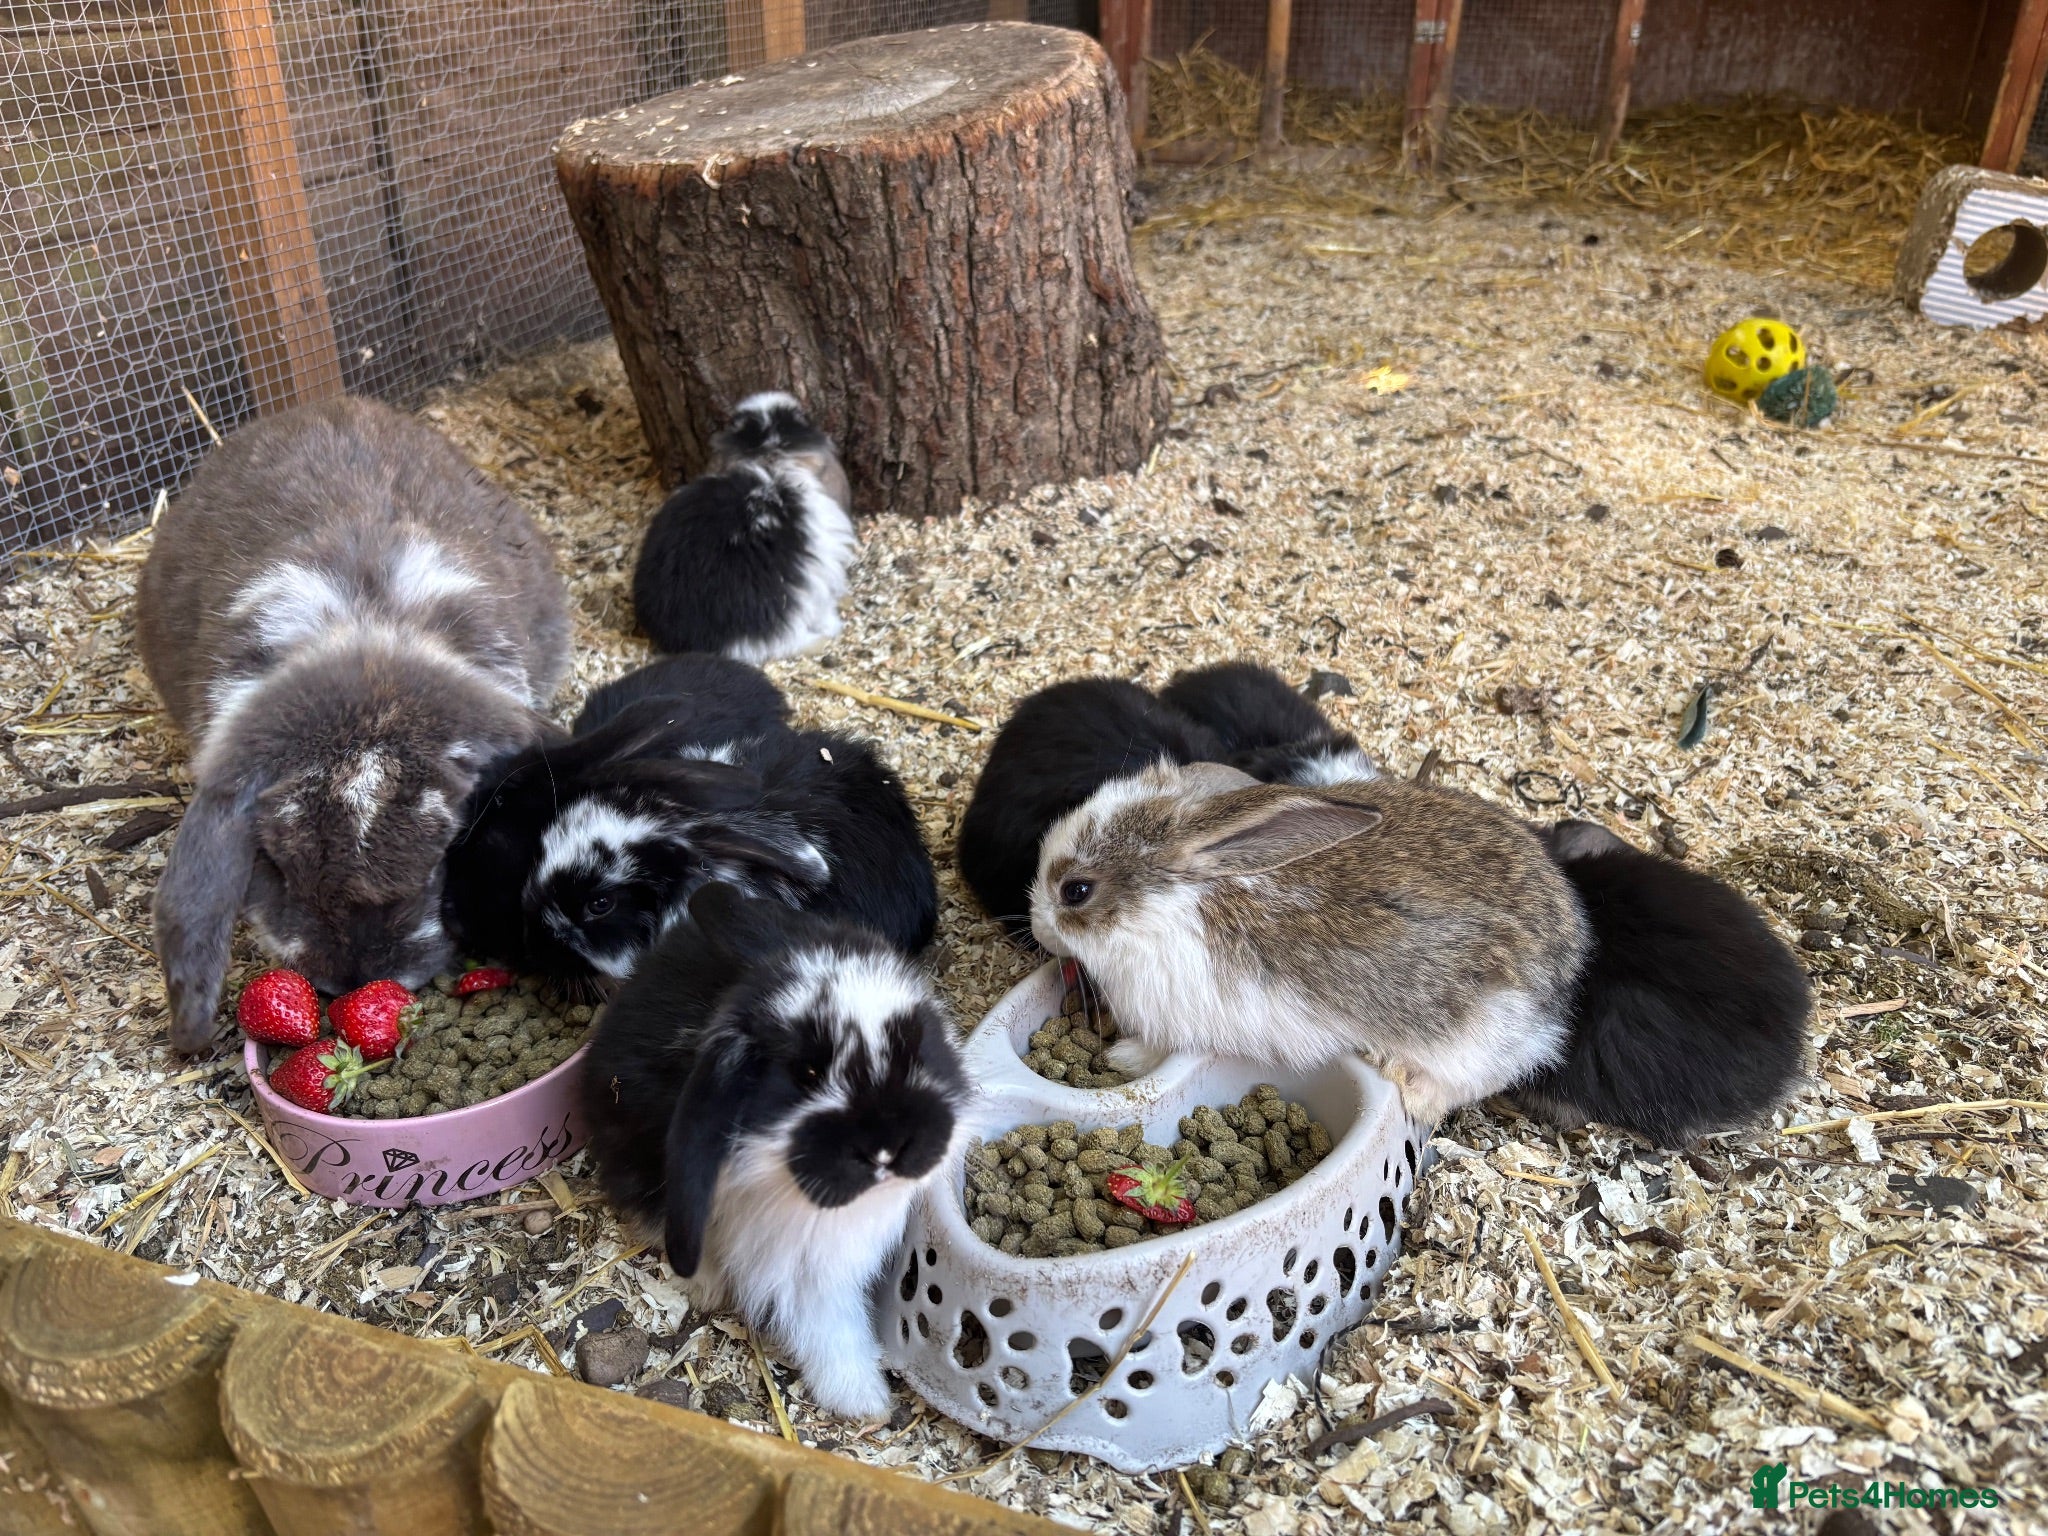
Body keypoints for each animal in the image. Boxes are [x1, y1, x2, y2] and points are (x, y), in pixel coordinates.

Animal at [583, 881, 969, 1419]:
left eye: (912, 1041)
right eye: (803, 1077)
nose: (893, 1145)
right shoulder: (803, 1265)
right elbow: (829, 1327)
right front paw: (867, 1402)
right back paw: (705, 1283)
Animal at [1029, 761, 1589, 1126]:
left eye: (1076, 891)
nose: (1036, 928)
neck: (1165, 902)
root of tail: (1564, 971)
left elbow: (1156, 1051)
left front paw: (1122, 1058)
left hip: (1472, 1036)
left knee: (1475, 1080)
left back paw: (1412, 1090)